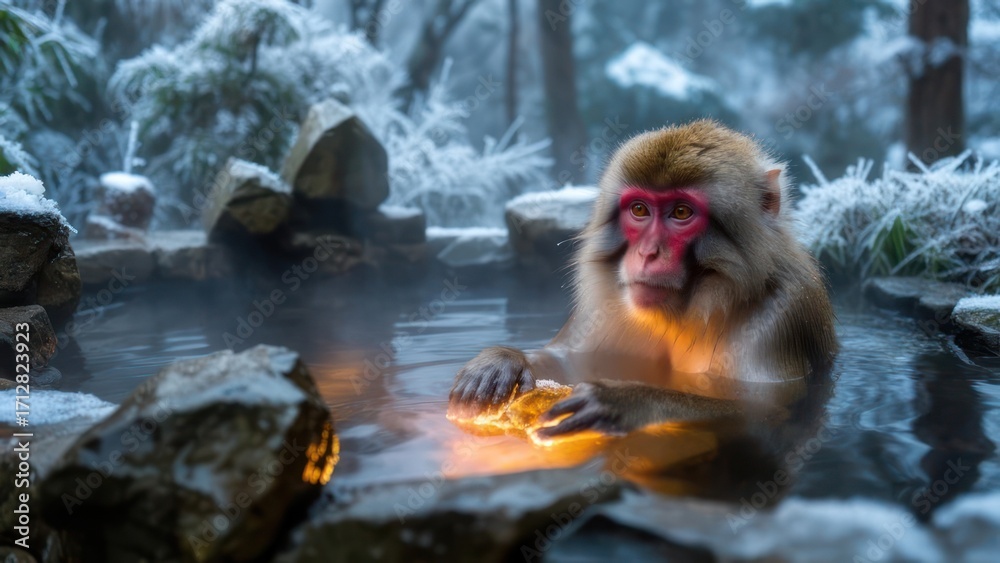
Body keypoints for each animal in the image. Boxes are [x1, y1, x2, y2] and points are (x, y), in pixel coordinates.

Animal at [449, 119, 838, 440]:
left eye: (681, 212)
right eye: (639, 209)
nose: (649, 252)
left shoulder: (780, 313)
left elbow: (765, 409)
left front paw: (625, 401)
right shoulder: (606, 307)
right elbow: (570, 358)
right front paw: (503, 361)